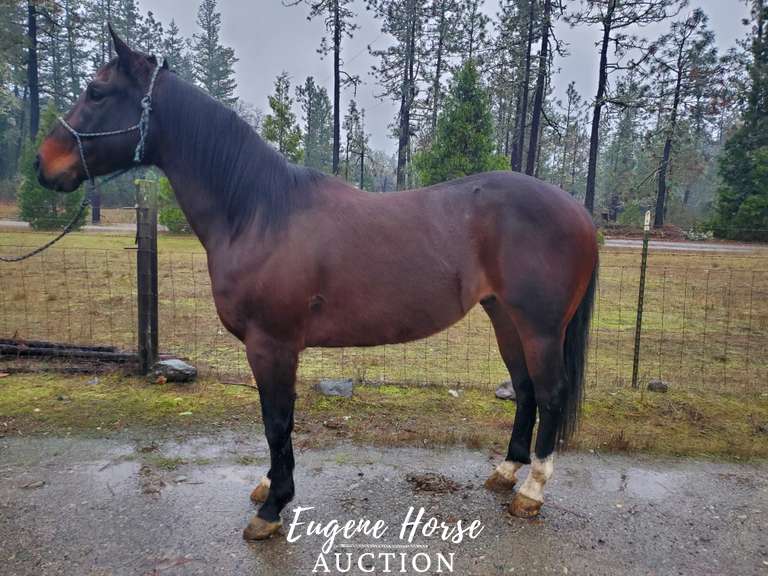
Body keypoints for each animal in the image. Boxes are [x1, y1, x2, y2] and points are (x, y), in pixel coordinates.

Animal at [36, 26, 598, 541]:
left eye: (96, 91)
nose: (43, 165)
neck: (259, 212)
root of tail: (577, 211)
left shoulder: (272, 344)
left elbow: (277, 421)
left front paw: (272, 509)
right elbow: (275, 422)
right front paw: (268, 487)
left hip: (540, 327)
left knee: (549, 394)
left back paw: (531, 492)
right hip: (504, 316)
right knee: (525, 390)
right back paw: (506, 473)